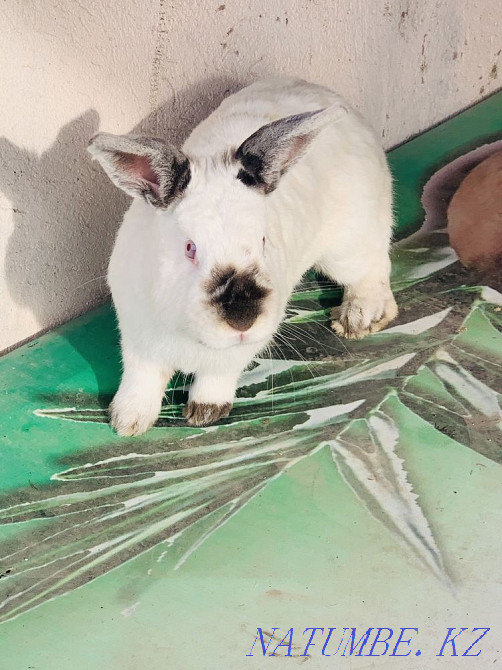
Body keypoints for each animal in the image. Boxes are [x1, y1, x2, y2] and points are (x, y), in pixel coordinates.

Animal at [88, 76, 397, 436]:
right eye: (190, 248)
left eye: (263, 240)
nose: (243, 318)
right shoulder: (138, 339)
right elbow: (142, 379)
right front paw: (127, 421)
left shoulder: (241, 350)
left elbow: (217, 376)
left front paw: (205, 413)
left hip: (348, 247)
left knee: (374, 271)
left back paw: (357, 319)